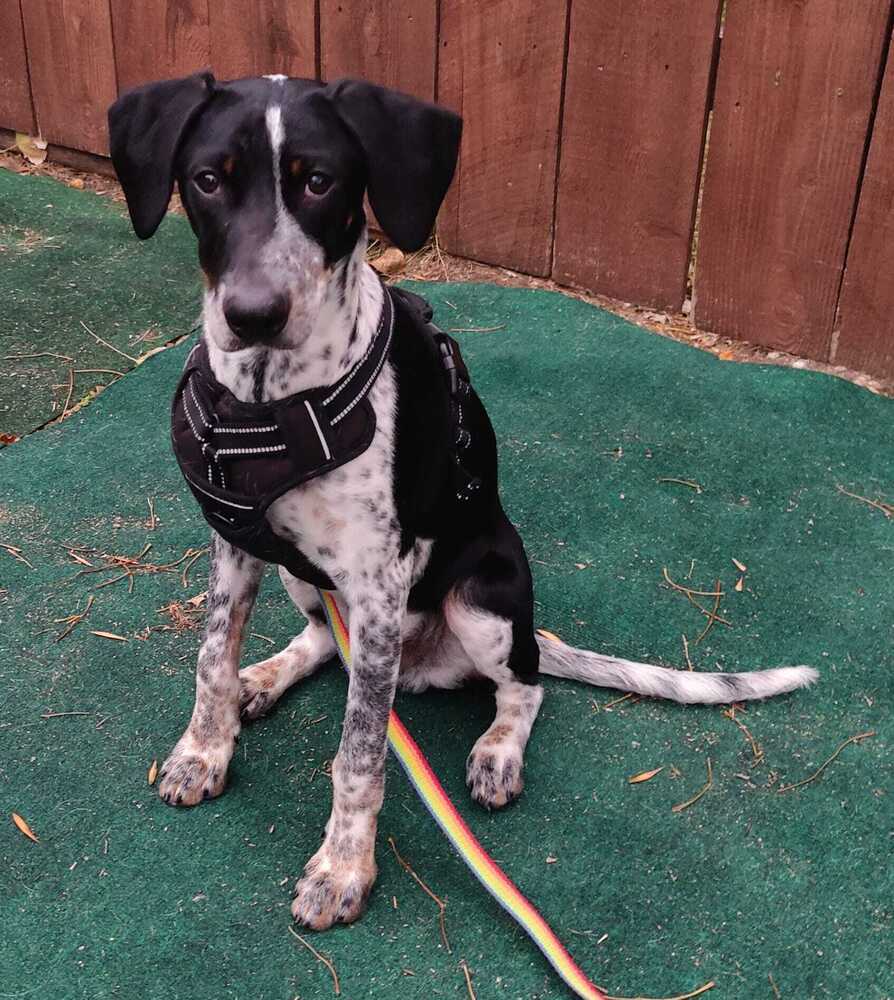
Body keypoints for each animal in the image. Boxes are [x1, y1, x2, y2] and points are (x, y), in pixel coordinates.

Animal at [107, 74, 820, 932]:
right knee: (323, 641)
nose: (251, 316)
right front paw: (202, 754)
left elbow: (360, 752)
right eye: (208, 180)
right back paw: (268, 676)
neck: (274, 399)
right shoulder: (236, 542)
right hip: (301, 577)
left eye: (320, 182)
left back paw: (497, 751)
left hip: (481, 600)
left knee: (525, 683)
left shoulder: (380, 585)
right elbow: (212, 658)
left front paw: (343, 869)